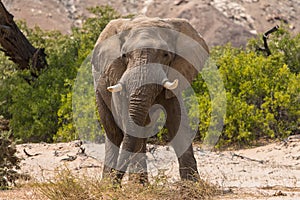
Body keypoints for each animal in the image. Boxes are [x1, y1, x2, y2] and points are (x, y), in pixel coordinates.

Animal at [91, 16, 209, 184]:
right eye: (124, 56)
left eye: (166, 55)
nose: (115, 184)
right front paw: (134, 187)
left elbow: (178, 119)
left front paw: (193, 186)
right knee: (114, 133)